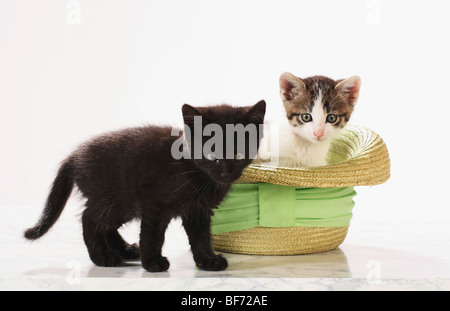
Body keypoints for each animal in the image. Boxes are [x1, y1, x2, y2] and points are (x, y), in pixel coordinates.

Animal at [24, 100, 266, 272]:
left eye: (239, 154)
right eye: (212, 155)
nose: (226, 173)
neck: (194, 171)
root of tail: (75, 156)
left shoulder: (198, 210)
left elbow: (201, 237)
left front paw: (207, 261)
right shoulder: (154, 204)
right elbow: (152, 234)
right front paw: (153, 263)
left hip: (125, 204)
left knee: (106, 225)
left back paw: (126, 251)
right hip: (111, 198)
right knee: (90, 219)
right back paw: (103, 257)